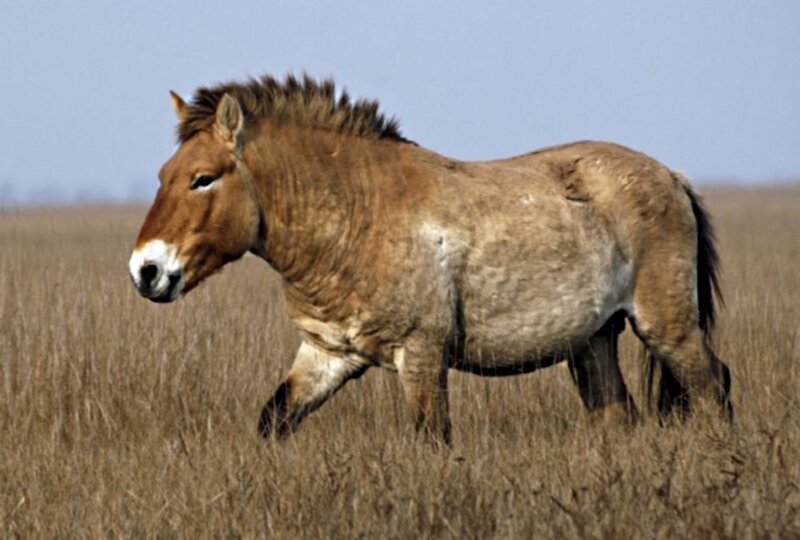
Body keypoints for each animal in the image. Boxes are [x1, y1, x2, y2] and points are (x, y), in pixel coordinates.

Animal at [129, 74, 732, 444]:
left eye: (203, 178)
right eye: (162, 175)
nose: (145, 271)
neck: (357, 216)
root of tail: (671, 176)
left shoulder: (420, 356)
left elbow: (431, 438)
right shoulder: (326, 355)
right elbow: (273, 419)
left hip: (667, 327)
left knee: (713, 391)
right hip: (593, 341)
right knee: (618, 416)